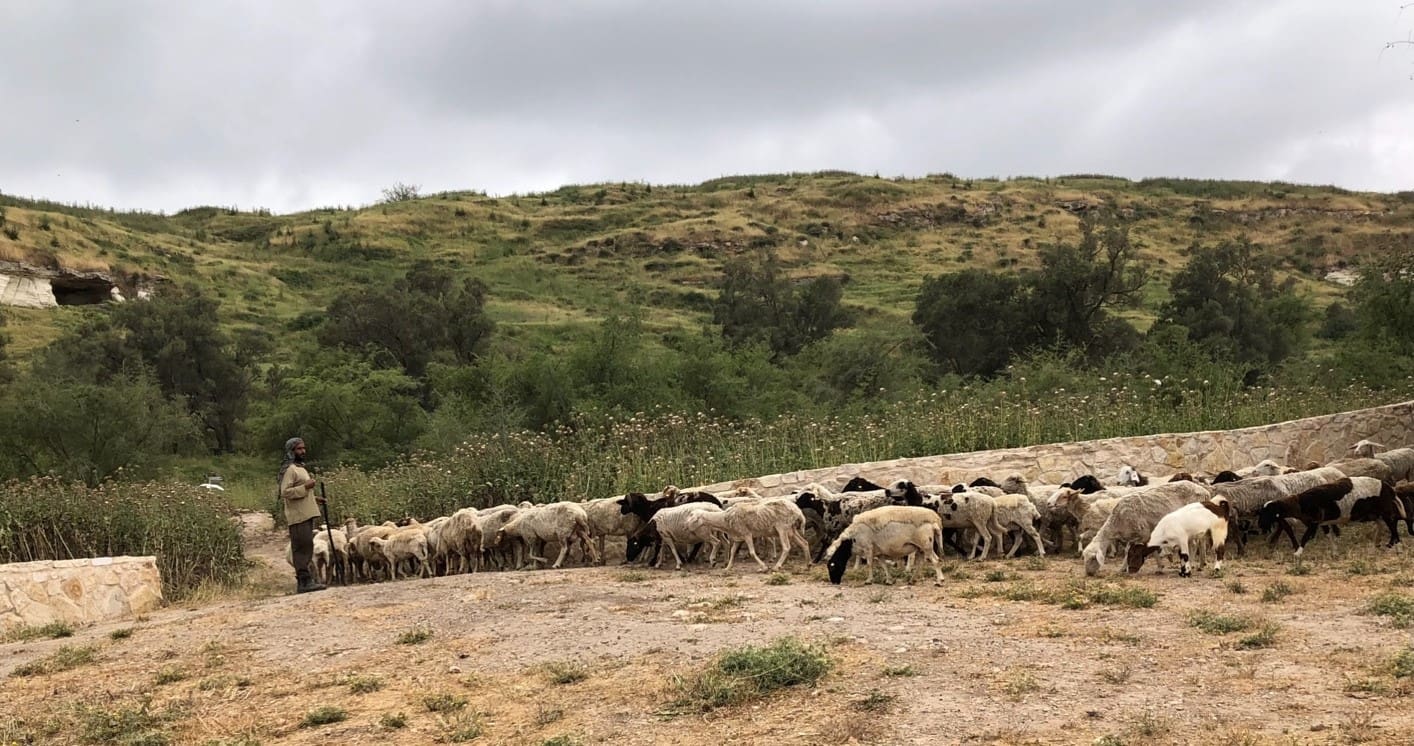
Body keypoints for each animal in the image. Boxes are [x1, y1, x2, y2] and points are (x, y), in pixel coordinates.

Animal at [1074, 477, 1210, 576]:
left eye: (1093, 559)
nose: (1089, 573)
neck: (1117, 521)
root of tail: (1205, 492)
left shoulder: (1144, 533)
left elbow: (1151, 551)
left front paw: (1159, 568)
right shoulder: (1133, 536)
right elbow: (1128, 551)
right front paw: (1124, 568)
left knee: (1193, 545)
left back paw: (1191, 564)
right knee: (1197, 543)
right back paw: (1198, 564)